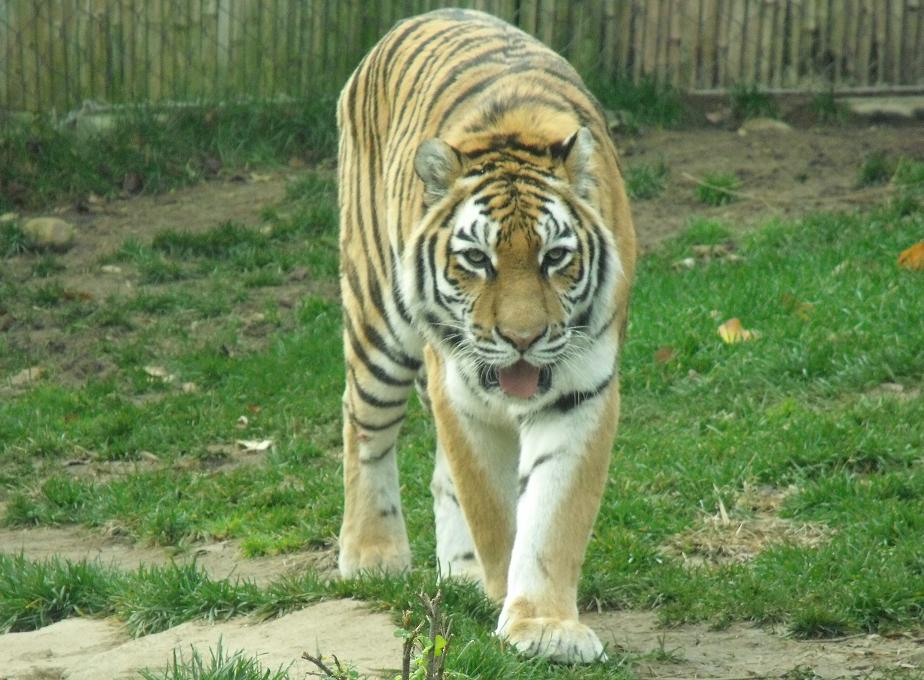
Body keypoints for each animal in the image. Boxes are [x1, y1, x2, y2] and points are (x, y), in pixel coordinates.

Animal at [336, 8, 636, 664]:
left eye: (555, 257)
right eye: (477, 259)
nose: (523, 337)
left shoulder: (582, 391)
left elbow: (551, 518)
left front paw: (544, 625)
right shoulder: (459, 389)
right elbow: (494, 508)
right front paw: (506, 600)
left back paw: (460, 576)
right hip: (378, 321)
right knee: (364, 423)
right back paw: (372, 555)